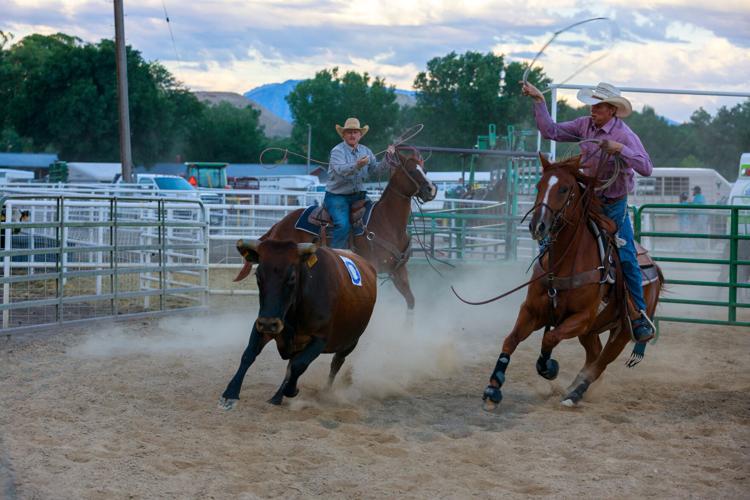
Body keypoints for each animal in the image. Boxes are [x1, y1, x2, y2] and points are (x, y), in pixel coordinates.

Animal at [218, 238, 378, 409]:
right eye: (258, 276)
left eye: (292, 278)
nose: (269, 323)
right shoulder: (262, 324)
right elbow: (249, 354)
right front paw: (230, 393)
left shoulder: (320, 339)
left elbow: (298, 365)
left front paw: (291, 390)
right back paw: (277, 397)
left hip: (350, 342)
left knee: (336, 363)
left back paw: (325, 392)